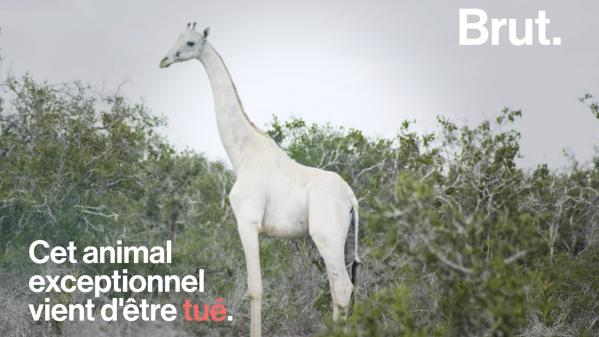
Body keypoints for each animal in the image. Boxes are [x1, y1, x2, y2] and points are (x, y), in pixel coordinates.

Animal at [159, 23, 360, 336]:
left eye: (190, 42)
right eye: (177, 38)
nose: (165, 60)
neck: (243, 153)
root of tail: (351, 197)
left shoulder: (247, 220)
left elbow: (255, 289)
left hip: (327, 237)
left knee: (342, 289)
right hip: (340, 239)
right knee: (342, 291)